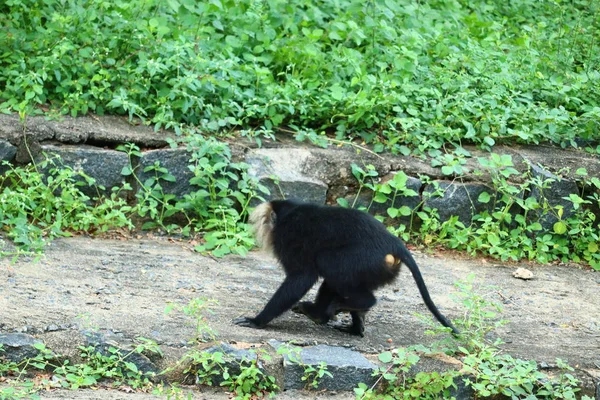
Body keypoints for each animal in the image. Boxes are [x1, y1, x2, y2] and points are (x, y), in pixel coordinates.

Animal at [232, 198, 458, 336]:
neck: (288, 214)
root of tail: (395, 244)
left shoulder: (287, 238)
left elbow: (302, 277)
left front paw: (257, 320)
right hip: (381, 269)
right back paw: (349, 324)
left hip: (366, 260)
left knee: (329, 263)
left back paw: (348, 307)